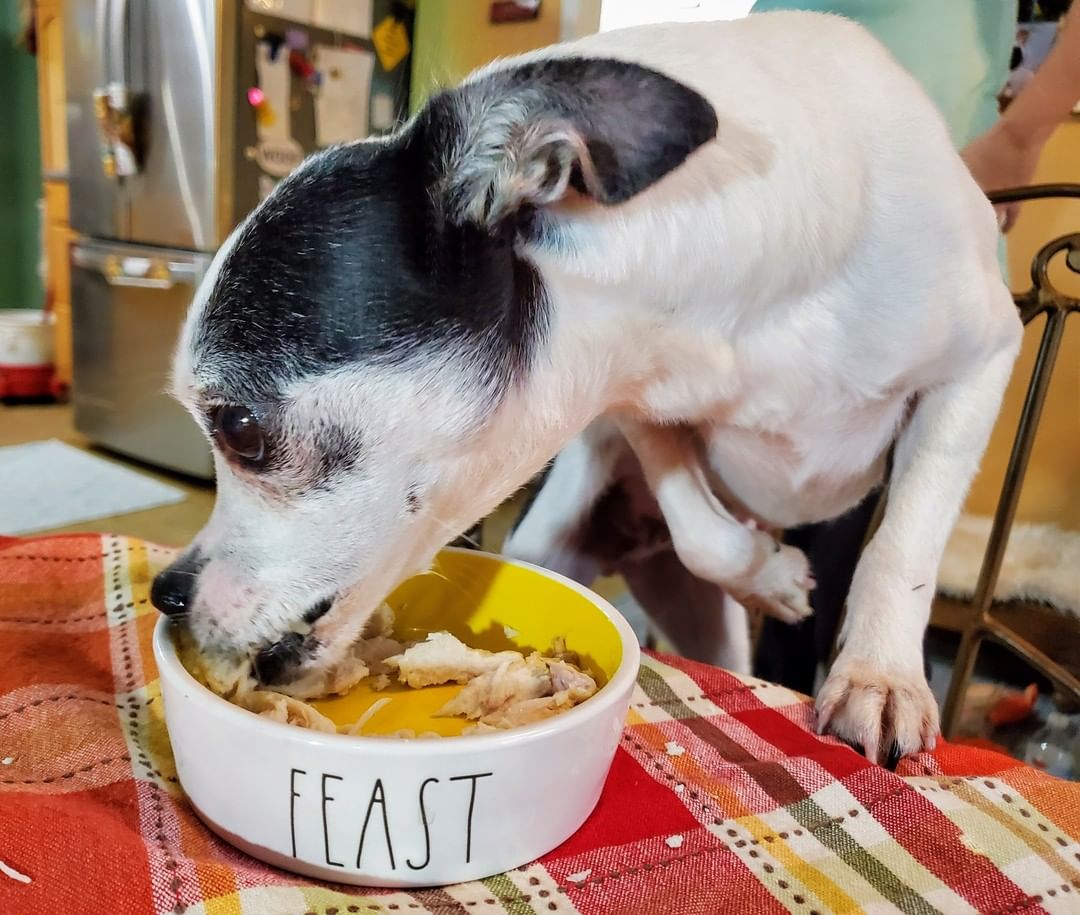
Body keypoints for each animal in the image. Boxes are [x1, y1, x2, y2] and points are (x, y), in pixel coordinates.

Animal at [154, 12, 1019, 764]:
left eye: (238, 429)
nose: (166, 590)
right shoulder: (630, 394)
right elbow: (699, 523)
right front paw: (769, 571)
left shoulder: (983, 362)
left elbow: (905, 544)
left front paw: (880, 676)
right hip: (575, 545)